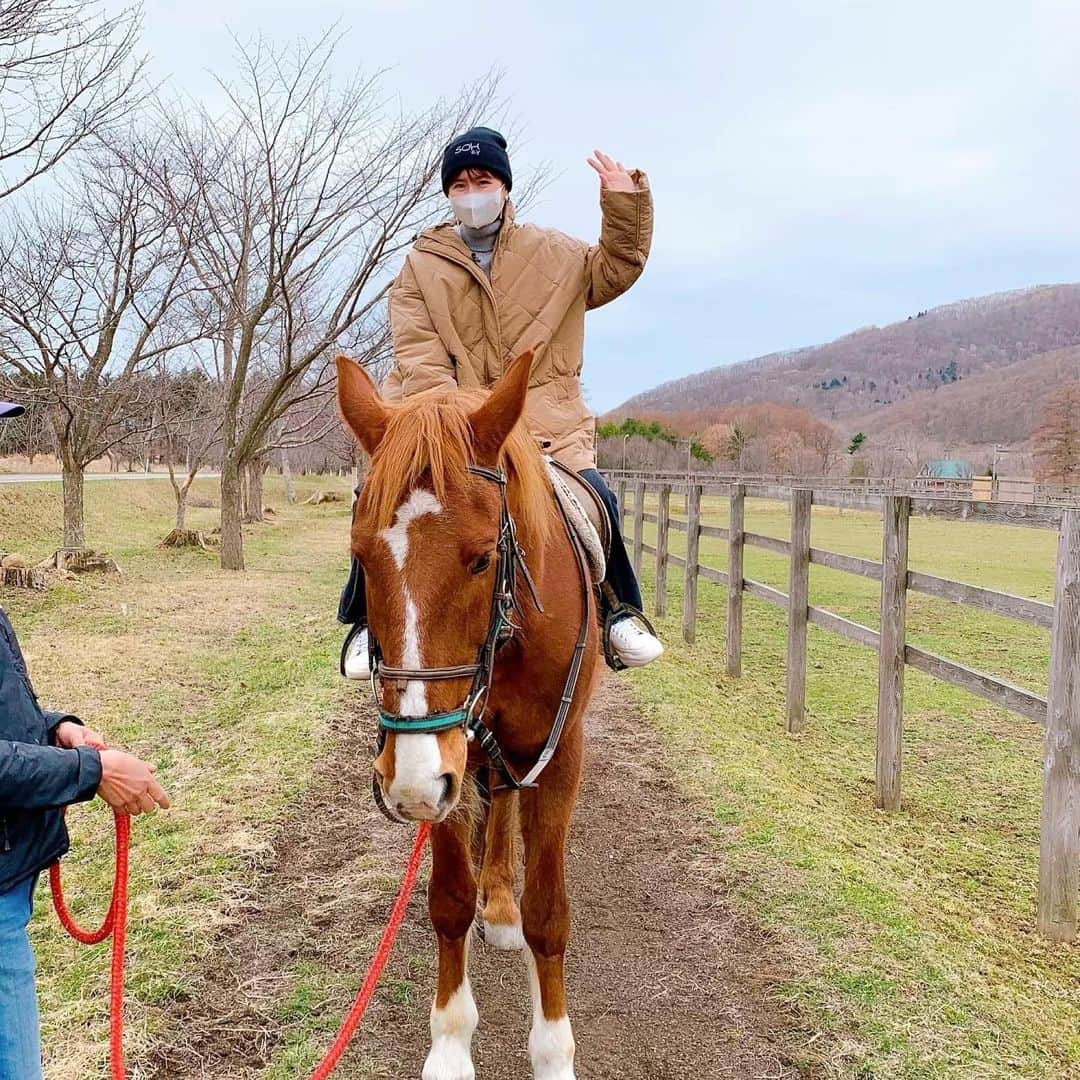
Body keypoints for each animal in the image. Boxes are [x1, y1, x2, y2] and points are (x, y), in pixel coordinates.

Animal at [334, 349, 600, 1075]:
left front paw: (554, 1052)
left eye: (482, 559)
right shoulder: (443, 760)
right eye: (361, 558)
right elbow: (450, 902)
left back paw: (503, 902)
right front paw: (450, 1044)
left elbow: (549, 914)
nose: (407, 787)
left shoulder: (557, 757)